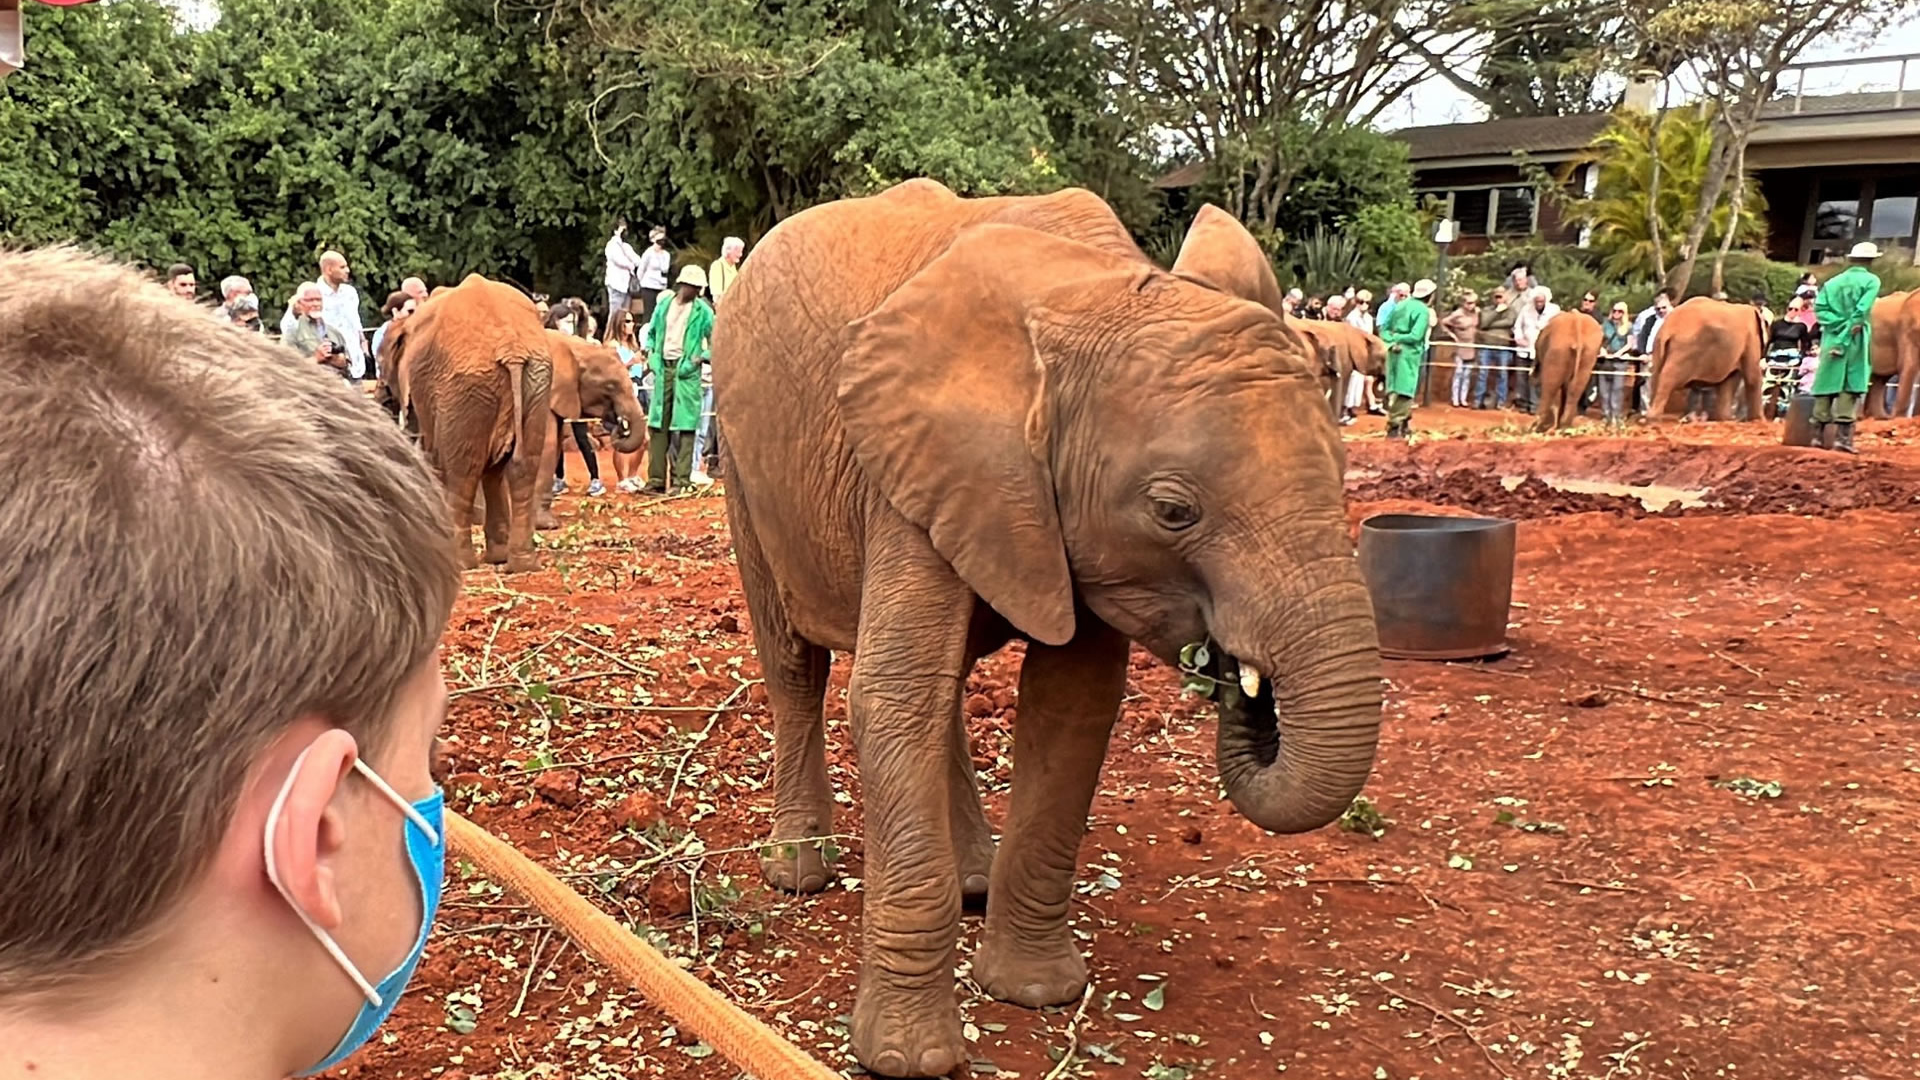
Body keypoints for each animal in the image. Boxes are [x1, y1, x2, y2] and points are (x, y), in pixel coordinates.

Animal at [382, 274, 553, 572]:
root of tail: (512, 348)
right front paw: (498, 556)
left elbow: (435, 457)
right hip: (533, 382)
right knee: (521, 468)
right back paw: (521, 565)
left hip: (466, 389)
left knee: (464, 472)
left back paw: (462, 563)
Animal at [715, 182, 1381, 1078]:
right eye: (1173, 511)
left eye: (1343, 472)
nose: (1236, 676)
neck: (1100, 291)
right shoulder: (914, 465)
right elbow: (891, 699)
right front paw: (909, 1060)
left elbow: (1071, 707)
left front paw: (1035, 995)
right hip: (743, 459)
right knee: (796, 664)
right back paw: (799, 874)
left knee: (943, 690)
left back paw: (974, 880)